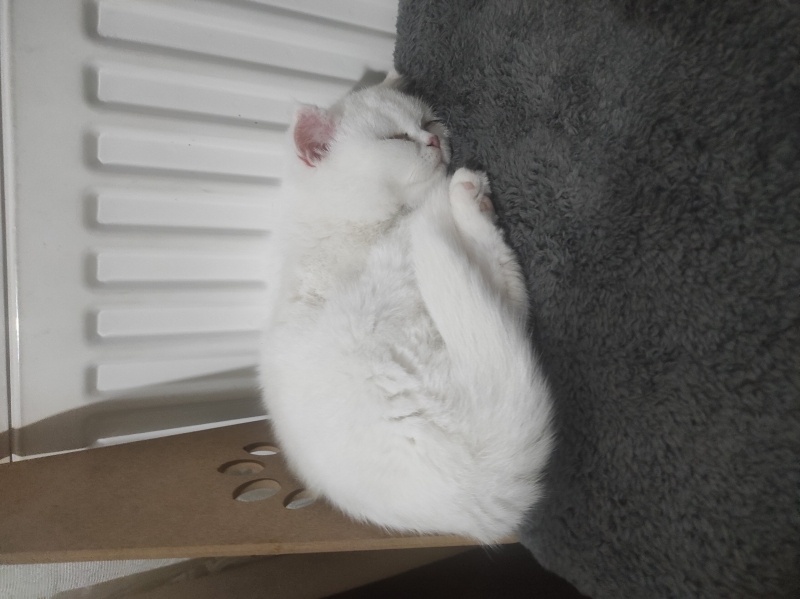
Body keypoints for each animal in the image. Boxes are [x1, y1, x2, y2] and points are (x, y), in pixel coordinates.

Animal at [260, 74, 552, 544]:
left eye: (428, 121)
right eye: (393, 138)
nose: (433, 139)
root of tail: (483, 487)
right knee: (504, 282)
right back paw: (467, 194)